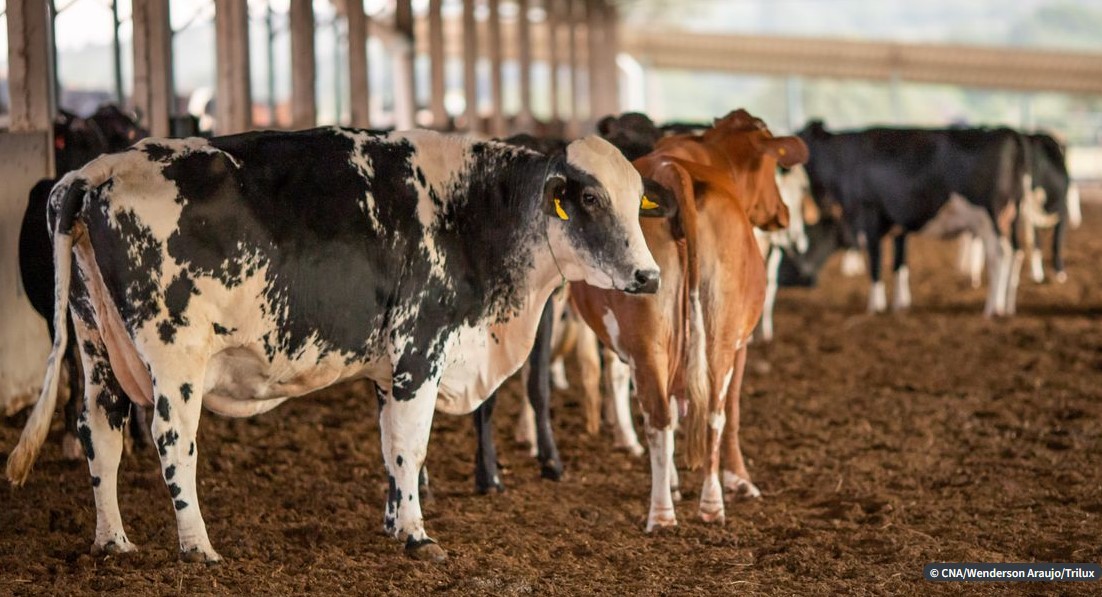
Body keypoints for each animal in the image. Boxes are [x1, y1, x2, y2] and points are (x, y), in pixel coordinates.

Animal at [6, 127, 660, 563]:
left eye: (636, 201)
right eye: (591, 198)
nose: (649, 276)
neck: (473, 213)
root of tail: (93, 172)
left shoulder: (387, 368)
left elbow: (390, 446)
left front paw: (395, 524)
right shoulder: (420, 349)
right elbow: (411, 446)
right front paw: (418, 536)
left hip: (95, 343)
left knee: (100, 431)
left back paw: (113, 541)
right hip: (174, 355)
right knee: (172, 439)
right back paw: (197, 547)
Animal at [572, 110, 807, 530]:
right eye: (771, 169)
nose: (782, 213)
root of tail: (673, 172)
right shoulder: (740, 344)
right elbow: (733, 412)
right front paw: (740, 480)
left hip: (655, 341)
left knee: (671, 415)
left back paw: (682, 508)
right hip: (716, 339)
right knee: (706, 413)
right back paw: (685, 507)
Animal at [797, 121, 1031, 316]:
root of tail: (1006, 131)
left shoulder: (869, 215)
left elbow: (876, 263)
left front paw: (874, 307)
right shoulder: (899, 225)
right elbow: (899, 264)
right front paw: (900, 305)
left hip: (989, 217)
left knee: (999, 255)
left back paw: (992, 308)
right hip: (1012, 215)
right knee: (1015, 252)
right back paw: (1007, 306)